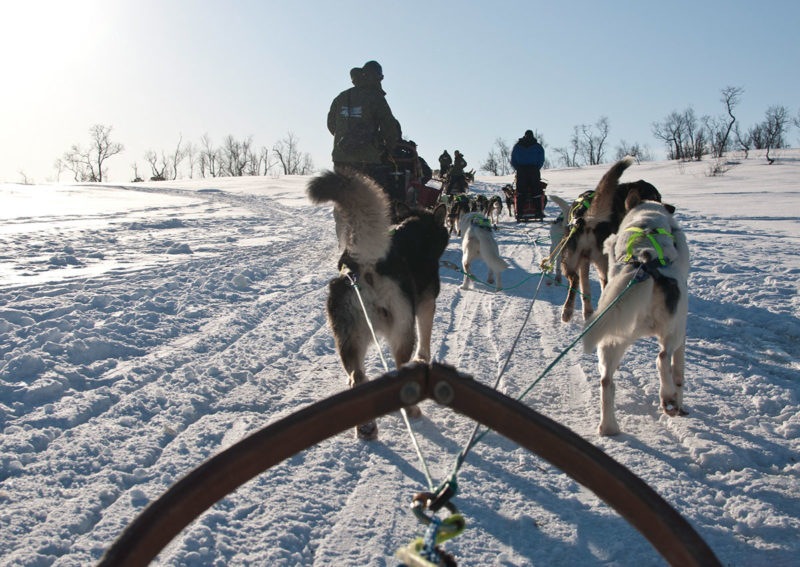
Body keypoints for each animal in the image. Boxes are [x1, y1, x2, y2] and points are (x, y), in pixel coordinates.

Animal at [308, 171, 450, 442]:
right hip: (403, 333)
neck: (416, 228)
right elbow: (426, 339)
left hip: (349, 338)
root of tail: (365, 262)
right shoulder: (427, 304)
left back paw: (366, 427)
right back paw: (412, 410)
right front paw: (423, 359)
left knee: (357, 378)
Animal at [580, 193, 688, 438]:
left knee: (606, 382)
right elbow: (678, 372)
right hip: (672, 331)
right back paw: (668, 397)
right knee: (662, 358)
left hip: (611, 341)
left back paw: (608, 427)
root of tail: (645, 264)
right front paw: (678, 398)